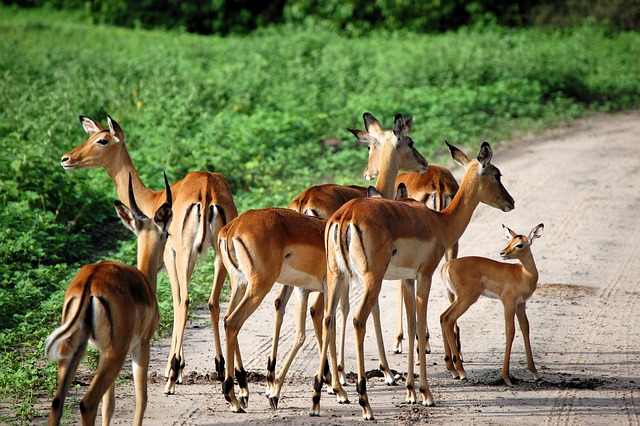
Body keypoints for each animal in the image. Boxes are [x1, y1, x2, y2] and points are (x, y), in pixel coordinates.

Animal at [45, 175, 172, 426]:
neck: (143, 280)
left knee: (57, 403)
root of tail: (90, 283)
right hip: (116, 353)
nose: (163, 264)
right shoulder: (142, 345)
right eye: (167, 234)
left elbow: (109, 405)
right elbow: (141, 400)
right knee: (87, 403)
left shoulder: (102, 350)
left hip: (75, 349)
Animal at [60, 116, 238, 394]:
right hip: (220, 258)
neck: (152, 200)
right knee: (215, 302)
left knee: (185, 301)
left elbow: (176, 301)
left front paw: (174, 368)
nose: (66, 159)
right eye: (90, 137)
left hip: (185, 255)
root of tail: (207, 189)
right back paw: (221, 370)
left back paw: (173, 378)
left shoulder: (169, 258)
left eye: (102, 140)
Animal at [219, 113, 428, 412]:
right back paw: (240, 397)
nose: (424, 164)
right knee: (237, 321)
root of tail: (230, 230)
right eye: (410, 142)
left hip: (244, 284)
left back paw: (251, 389)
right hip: (262, 284)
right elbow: (356, 313)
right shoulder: (348, 281)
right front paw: (377, 376)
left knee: (235, 316)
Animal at [311, 141, 515, 420]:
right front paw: (426, 394)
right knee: (357, 320)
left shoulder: (407, 279)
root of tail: (345, 216)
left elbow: (410, 325)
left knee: (328, 319)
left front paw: (410, 392)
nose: (510, 202)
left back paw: (320, 399)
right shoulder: (424, 275)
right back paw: (365, 404)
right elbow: (420, 325)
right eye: (496, 174)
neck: (440, 222)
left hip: (336, 276)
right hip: (370, 279)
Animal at [440, 223, 543, 385]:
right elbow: (510, 332)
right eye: (509, 241)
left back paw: (454, 371)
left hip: (459, 298)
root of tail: (447, 265)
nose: (502, 252)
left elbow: (525, 329)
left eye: (519, 244)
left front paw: (535, 372)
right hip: (467, 299)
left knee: (442, 317)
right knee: (448, 319)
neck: (524, 274)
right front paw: (506, 377)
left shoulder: (521, 304)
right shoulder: (508, 303)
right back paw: (462, 372)